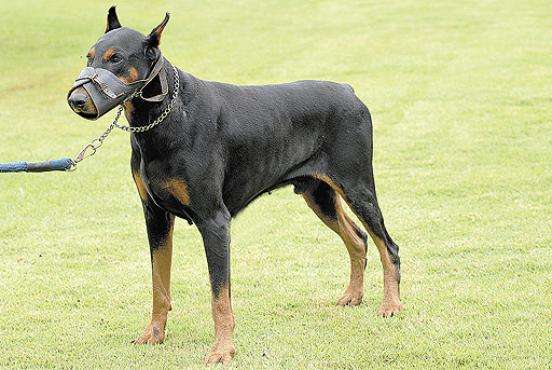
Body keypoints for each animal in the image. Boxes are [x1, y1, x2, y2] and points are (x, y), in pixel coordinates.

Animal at [68, 7, 402, 366]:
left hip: (356, 185)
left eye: (115, 58)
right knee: (358, 239)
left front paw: (222, 350)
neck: (164, 118)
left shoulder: (214, 220)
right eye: (89, 56)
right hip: (318, 193)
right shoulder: (155, 215)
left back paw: (391, 305)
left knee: (388, 246)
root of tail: (348, 90)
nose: (76, 99)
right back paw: (353, 296)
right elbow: (159, 284)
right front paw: (154, 335)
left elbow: (220, 297)